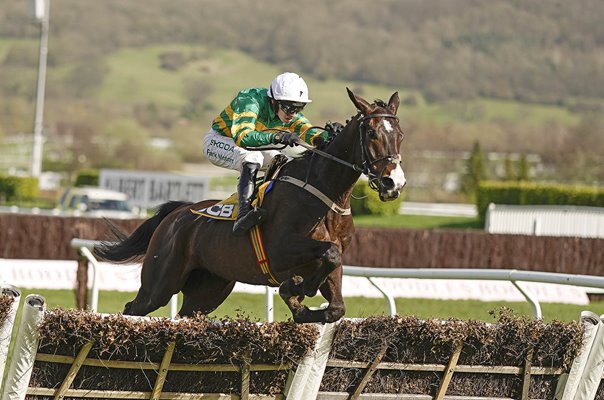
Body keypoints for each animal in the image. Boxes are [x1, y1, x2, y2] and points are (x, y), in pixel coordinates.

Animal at [94, 88, 406, 324]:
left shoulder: (333, 265)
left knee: (186, 315)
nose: (394, 182)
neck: (325, 197)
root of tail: (177, 215)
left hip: (209, 288)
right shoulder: (282, 249)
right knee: (133, 308)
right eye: (372, 134)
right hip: (160, 282)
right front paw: (297, 287)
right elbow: (324, 257)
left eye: (400, 134)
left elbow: (335, 302)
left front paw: (300, 298)